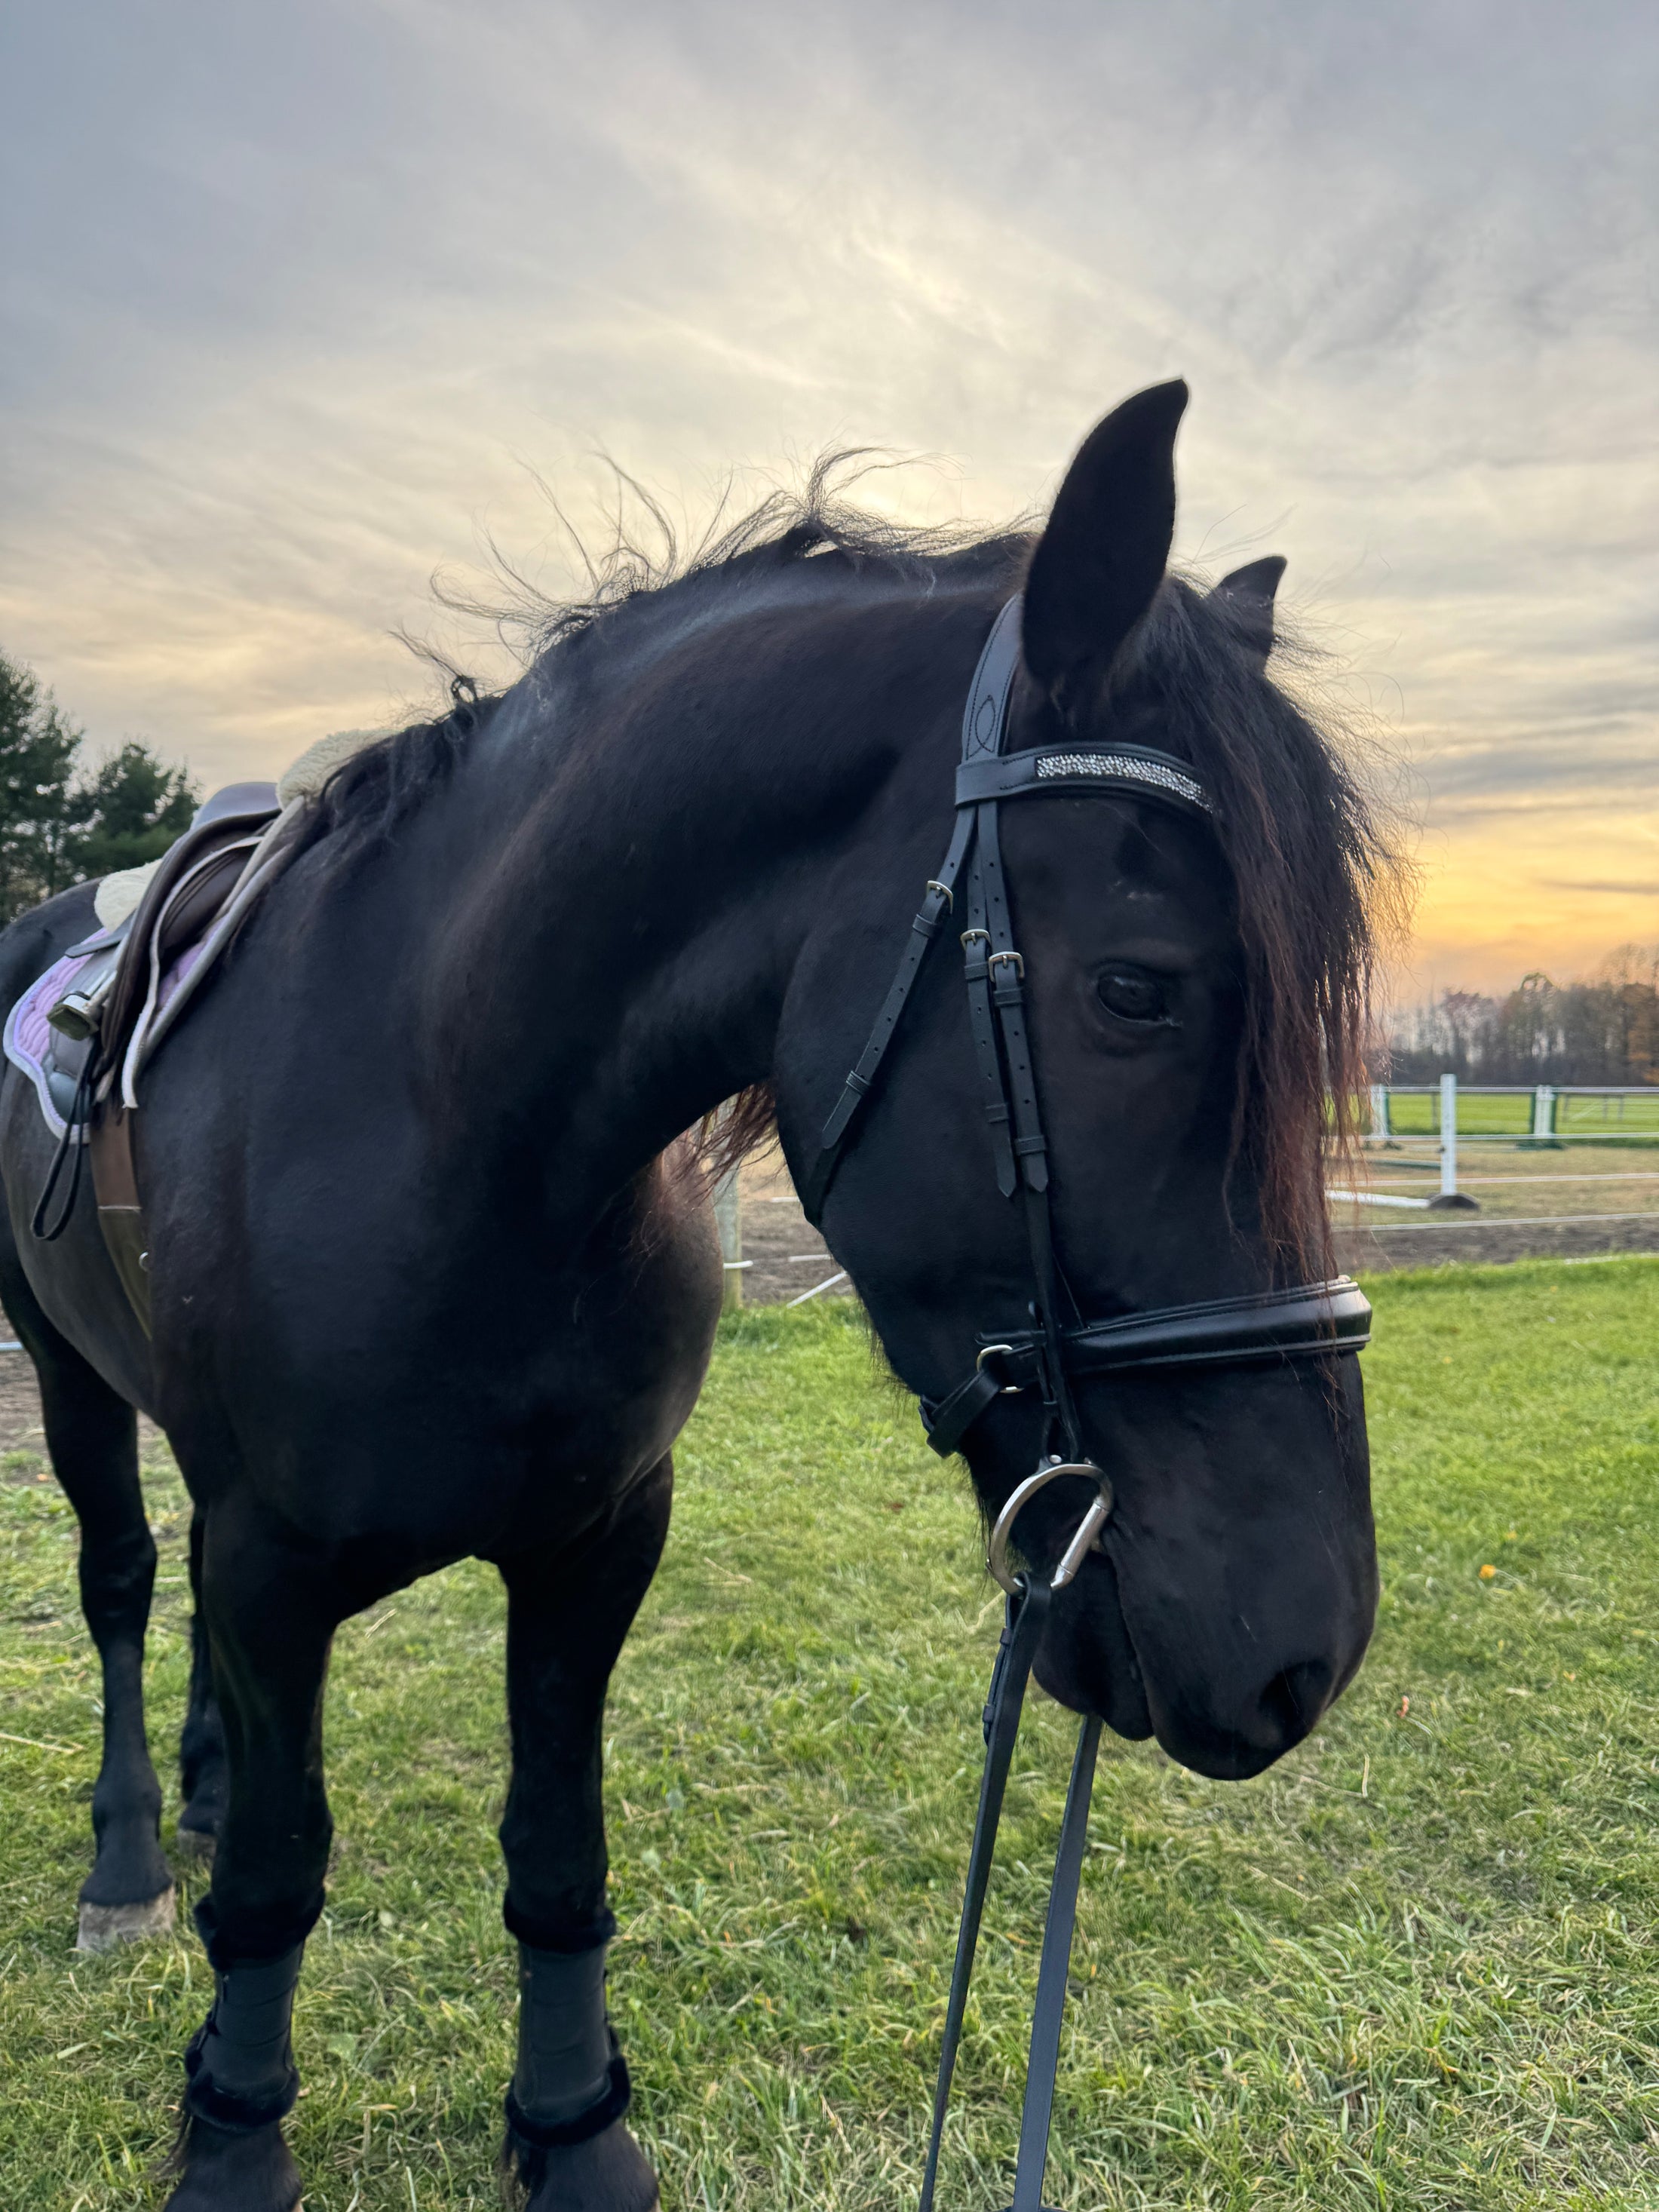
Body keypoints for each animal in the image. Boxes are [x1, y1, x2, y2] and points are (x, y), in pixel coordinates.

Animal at [3, 389, 1389, 2203]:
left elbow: (555, 1851)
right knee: (118, 1584)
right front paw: (233, 2134)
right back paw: (127, 1856)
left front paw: (572, 2127)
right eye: (1137, 990)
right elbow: (280, 1876)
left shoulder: (596, 1541)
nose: (1311, 1650)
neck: (446, 1123)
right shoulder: (276, 1555)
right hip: (65, 1374)